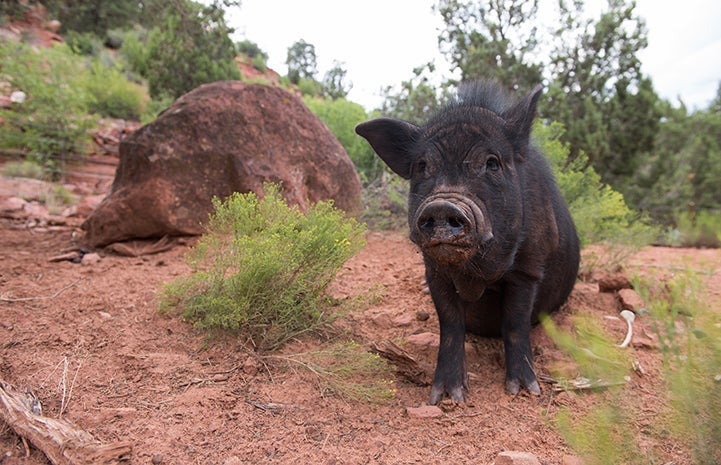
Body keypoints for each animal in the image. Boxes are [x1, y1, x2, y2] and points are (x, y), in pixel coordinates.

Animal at [354, 81, 580, 404]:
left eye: (492, 163)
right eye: (422, 166)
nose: (442, 206)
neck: (475, 275)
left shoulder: (528, 270)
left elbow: (515, 323)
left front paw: (524, 390)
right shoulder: (435, 273)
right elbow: (450, 324)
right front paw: (447, 397)